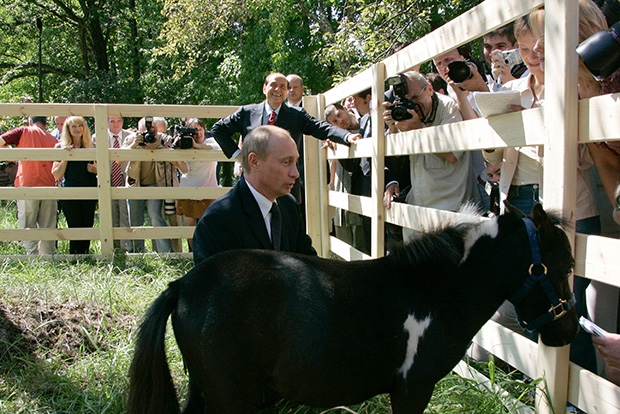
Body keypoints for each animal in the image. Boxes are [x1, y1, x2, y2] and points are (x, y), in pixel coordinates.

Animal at [128, 205, 580, 414]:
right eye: (565, 266)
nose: (570, 331)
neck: (434, 290)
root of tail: (184, 285)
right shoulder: (413, 388)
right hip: (232, 398)